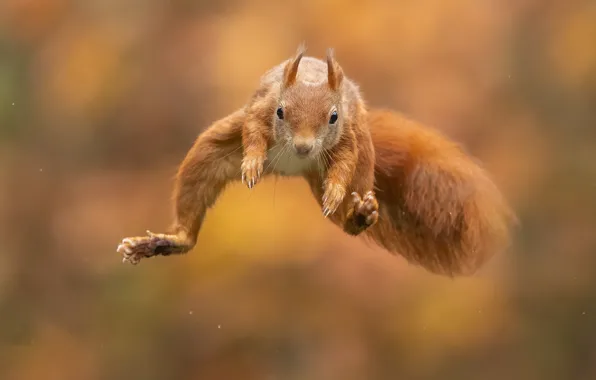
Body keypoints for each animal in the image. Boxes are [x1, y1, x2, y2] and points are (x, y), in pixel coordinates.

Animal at [116, 45, 516, 276]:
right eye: (281, 111)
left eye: (333, 117)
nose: (305, 146)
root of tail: (294, 168)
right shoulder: (259, 111)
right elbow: (253, 134)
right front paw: (252, 163)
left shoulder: (349, 138)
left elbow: (344, 162)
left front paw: (336, 190)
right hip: (211, 152)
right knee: (192, 205)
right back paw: (163, 242)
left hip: (363, 172)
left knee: (350, 211)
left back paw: (358, 214)